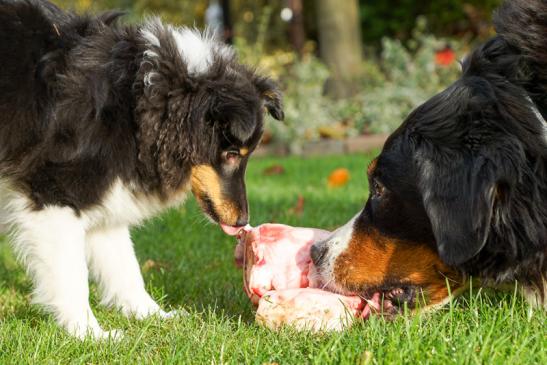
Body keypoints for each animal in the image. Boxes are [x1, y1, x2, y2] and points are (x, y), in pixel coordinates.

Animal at [0, 0, 282, 336]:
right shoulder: (56, 193)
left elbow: (125, 265)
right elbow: (72, 274)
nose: (242, 222)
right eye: (231, 154)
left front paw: (153, 316)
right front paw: (90, 334)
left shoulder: (105, 193)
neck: (135, 103)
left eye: (244, 155)